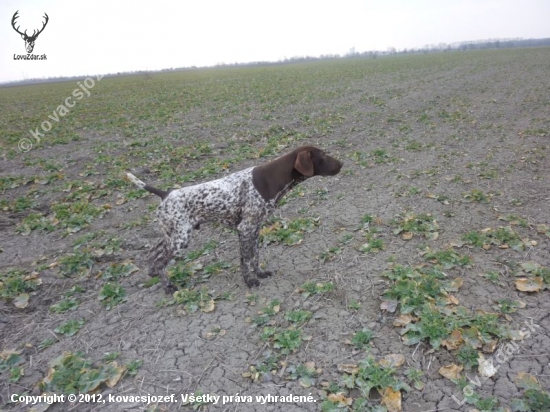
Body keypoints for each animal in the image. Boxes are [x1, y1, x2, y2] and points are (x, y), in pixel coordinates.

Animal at [128, 146, 344, 292]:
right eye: (322, 156)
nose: (342, 164)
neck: (272, 178)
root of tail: (165, 194)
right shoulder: (245, 228)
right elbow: (246, 260)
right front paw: (250, 281)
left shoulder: (255, 228)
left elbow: (254, 256)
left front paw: (260, 273)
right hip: (181, 239)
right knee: (162, 261)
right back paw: (168, 286)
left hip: (172, 234)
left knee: (153, 252)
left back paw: (152, 273)